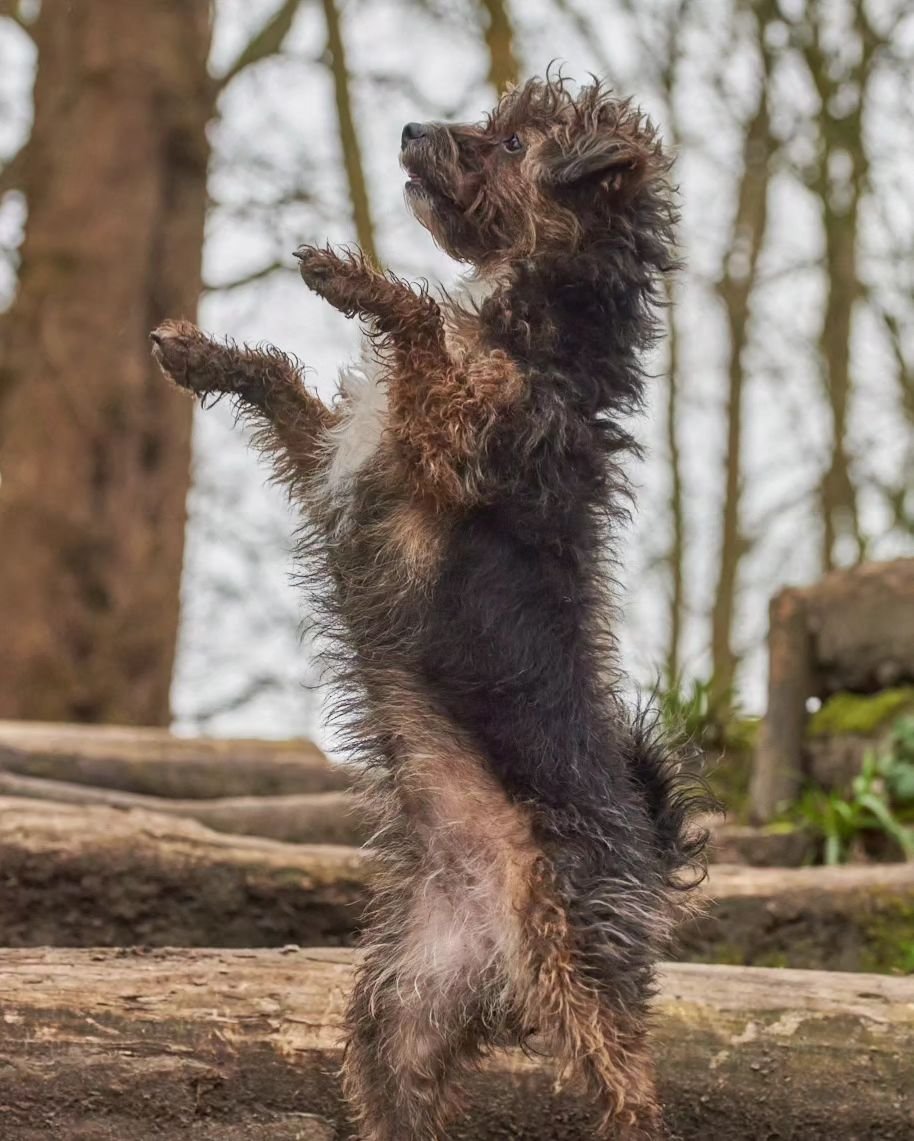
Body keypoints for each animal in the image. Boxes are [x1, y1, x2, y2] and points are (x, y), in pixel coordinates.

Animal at [149, 75, 707, 1136]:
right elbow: (281, 381)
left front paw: (346, 276)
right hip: (400, 1010)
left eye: (517, 142)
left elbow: (412, 323)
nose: (411, 129)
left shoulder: (444, 439)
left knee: (635, 1082)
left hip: (575, 959)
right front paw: (202, 355)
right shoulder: (336, 458)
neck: (534, 326)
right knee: (403, 1084)